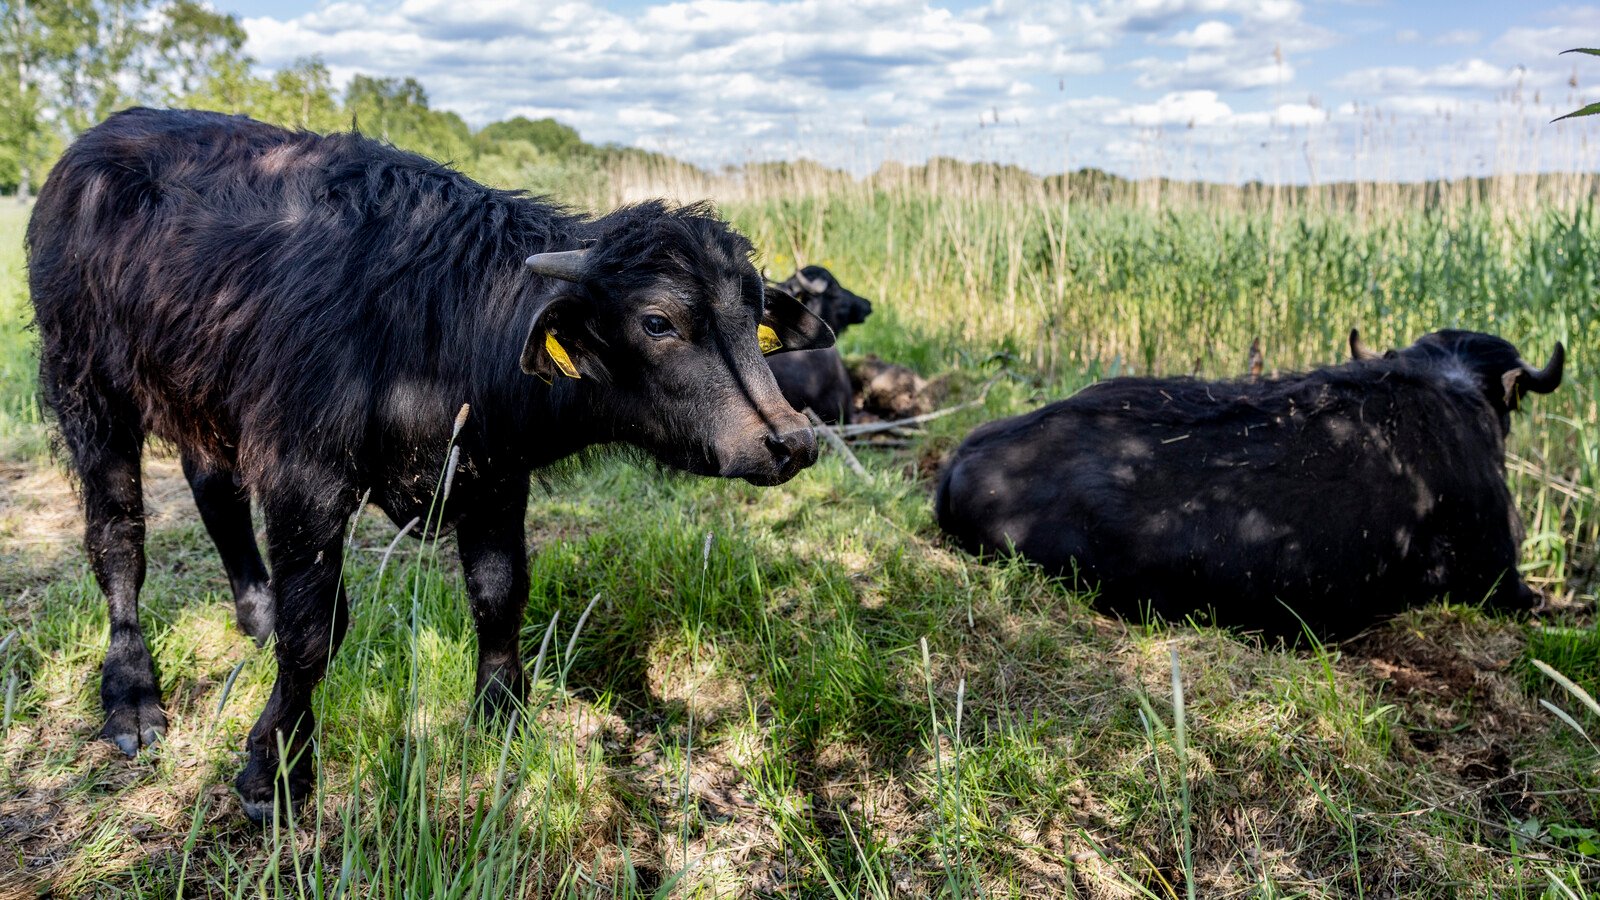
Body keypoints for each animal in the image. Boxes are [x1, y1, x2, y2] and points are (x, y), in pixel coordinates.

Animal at [28, 106, 838, 819]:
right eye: (658, 321)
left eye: (753, 315)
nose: (789, 442)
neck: (439, 321)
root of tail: (88, 152)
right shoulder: (305, 479)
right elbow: (312, 632)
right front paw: (275, 768)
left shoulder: (494, 476)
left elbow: (499, 595)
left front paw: (502, 715)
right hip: (87, 387)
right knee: (118, 537)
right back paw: (132, 694)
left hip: (203, 398)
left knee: (213, 488)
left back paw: (253, 611)